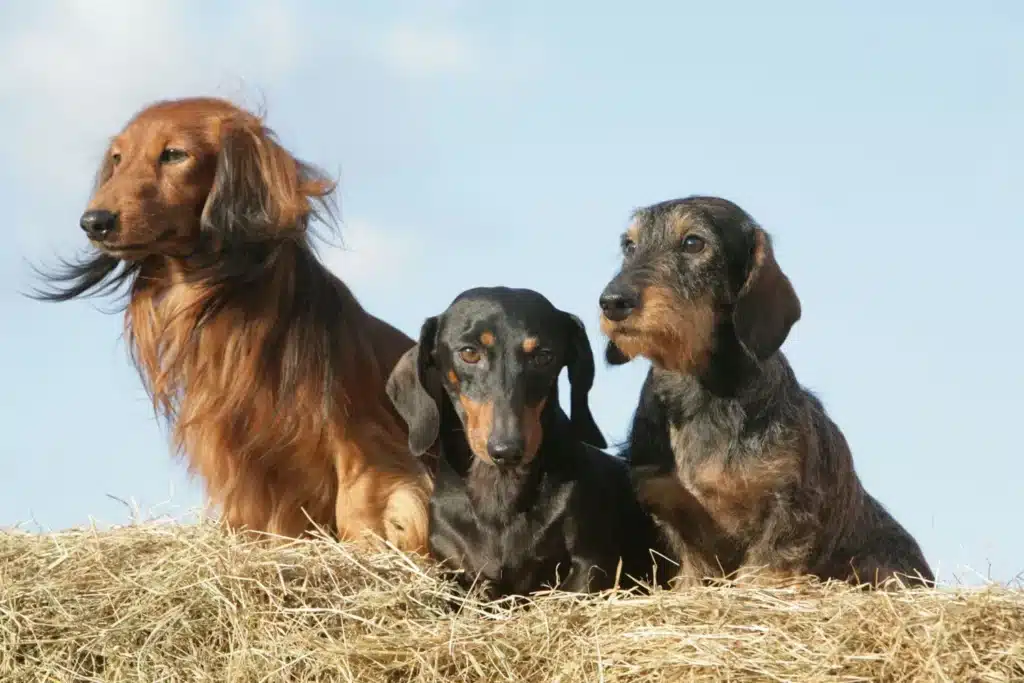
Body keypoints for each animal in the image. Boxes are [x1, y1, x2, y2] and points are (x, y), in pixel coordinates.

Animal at [35, 96, 432, 552]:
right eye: (117, 159)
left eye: (174, 154)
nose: (94, 222)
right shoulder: (241, 460)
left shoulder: (362, 443)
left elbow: (362, 509)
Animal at [598, 196, 937, 589]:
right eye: (629, 245)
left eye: (693, 242)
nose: (613, 301)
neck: (701, 393)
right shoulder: (669, 510)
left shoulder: (787, 509)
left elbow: (765, 568)